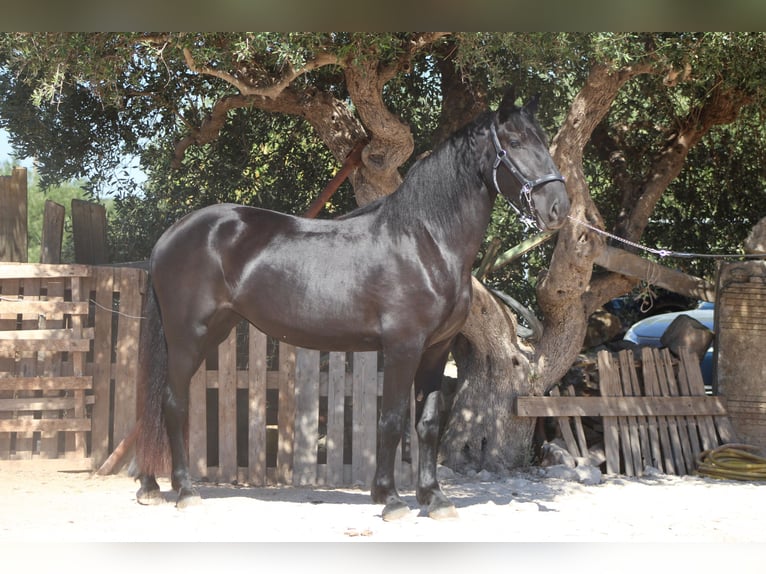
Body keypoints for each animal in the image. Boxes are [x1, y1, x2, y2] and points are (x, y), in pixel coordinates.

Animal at [133, 87, 570, 521]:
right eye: (514, 142)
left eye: (544, 140)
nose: (559, 208)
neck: (426, 241)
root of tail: (171, 235)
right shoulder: (403, 347)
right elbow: (391, 420)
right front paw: (390, 499)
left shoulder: (436, 349)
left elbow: (428, 424)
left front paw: (434, 498)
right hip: (188, 337)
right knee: (172, 404)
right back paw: (184, 490)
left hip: (214, 331)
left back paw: (151, 486)